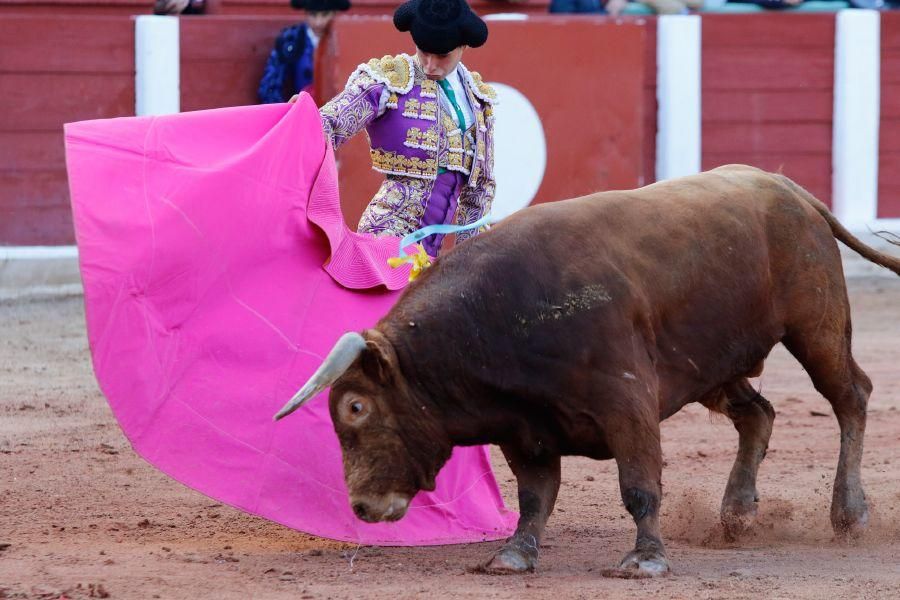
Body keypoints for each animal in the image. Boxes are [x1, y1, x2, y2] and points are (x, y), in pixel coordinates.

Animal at [272, 165, 900, 576]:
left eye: (356, 406)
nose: (361, 507)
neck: (494, 320)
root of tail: (789, 188)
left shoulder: (627, 403)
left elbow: (639, 485)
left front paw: (645, 560)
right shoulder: (523, 430)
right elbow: (535, 496)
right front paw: (514, 555)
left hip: (816, 326)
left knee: (851, 397)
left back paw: (849, 514)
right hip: (713, 365)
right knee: (758, 413)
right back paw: (736, 514)